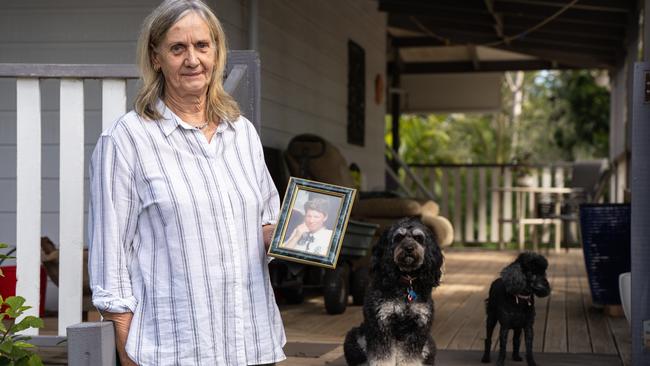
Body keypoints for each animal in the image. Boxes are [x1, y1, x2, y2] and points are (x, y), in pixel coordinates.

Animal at [342, 219, 442, 364]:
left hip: (429, 344)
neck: (405, 283)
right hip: (354, 338)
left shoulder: (418, 328)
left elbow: (409, 358)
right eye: (399, 237)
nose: (409, 248)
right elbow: (382, 356)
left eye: (418, 238)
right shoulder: (381, 324)